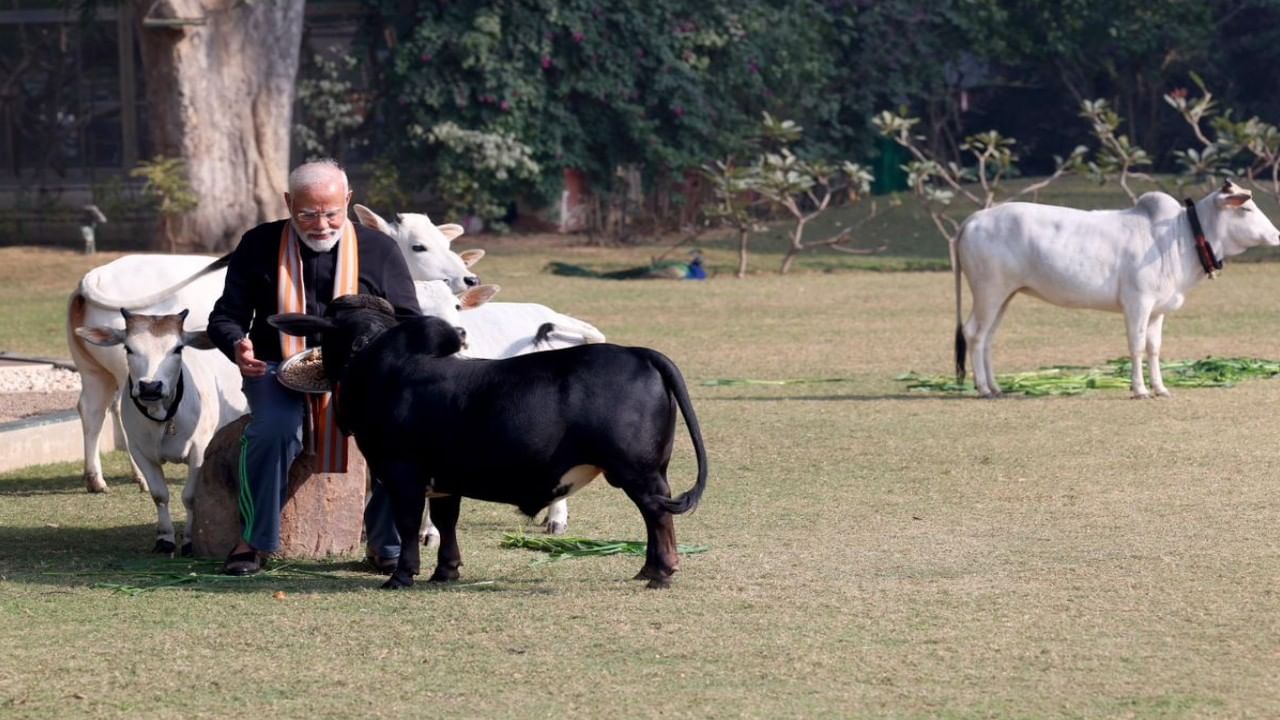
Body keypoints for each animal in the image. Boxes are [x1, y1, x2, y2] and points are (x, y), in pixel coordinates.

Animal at [75, 307, 249, 548]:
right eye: (128, 348)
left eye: (178, 348)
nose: (150, 386)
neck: (161, 418)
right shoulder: (139, 451)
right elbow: (159, 495)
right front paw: (165, 537)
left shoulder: (199, 449)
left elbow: (189, 496)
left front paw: (188, 539)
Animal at [270, 294, 711, 586]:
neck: (376, 364)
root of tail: (639, 352)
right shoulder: (445, 481)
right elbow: (445, 523)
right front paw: (445, 571)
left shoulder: (401, 473)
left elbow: (409, 523)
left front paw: (402, 575)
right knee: (657, 514)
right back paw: (649, 568)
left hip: (637, 471)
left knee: (657, 514)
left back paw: (661, 571)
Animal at [957, 176, 1274, 394]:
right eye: (1246, 209)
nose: (1276, 234)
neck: (1178, 235)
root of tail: (973, 218)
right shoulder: (1138, 303)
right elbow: (1136, 345)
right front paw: (1140, 389)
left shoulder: (1157, 310)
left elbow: (1154, 347)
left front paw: (1160, 388)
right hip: (989, 291)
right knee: (974, 333)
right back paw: (983, 388)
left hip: (1005, 295)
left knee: (988, 337)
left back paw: (995, 386)